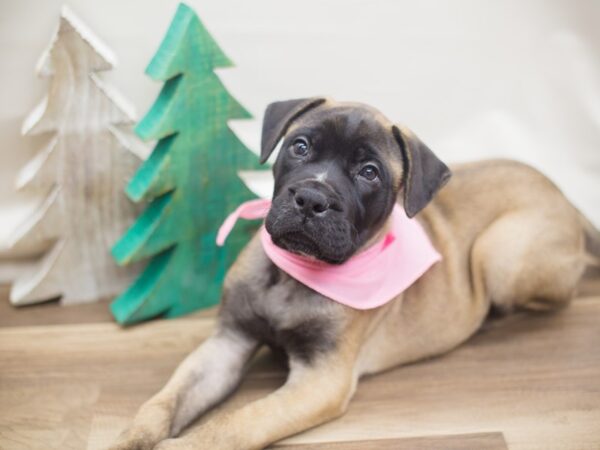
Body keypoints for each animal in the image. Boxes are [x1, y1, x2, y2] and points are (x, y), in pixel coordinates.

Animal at [110, 96, 596, 448]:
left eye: (369, 172)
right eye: (300, 146)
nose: (310, 199)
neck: (293, 275)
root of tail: (567, 199)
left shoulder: (320, 380)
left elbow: (240, 420)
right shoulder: (227, 344)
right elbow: (162, 402)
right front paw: (130, 437)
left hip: (500, 253)